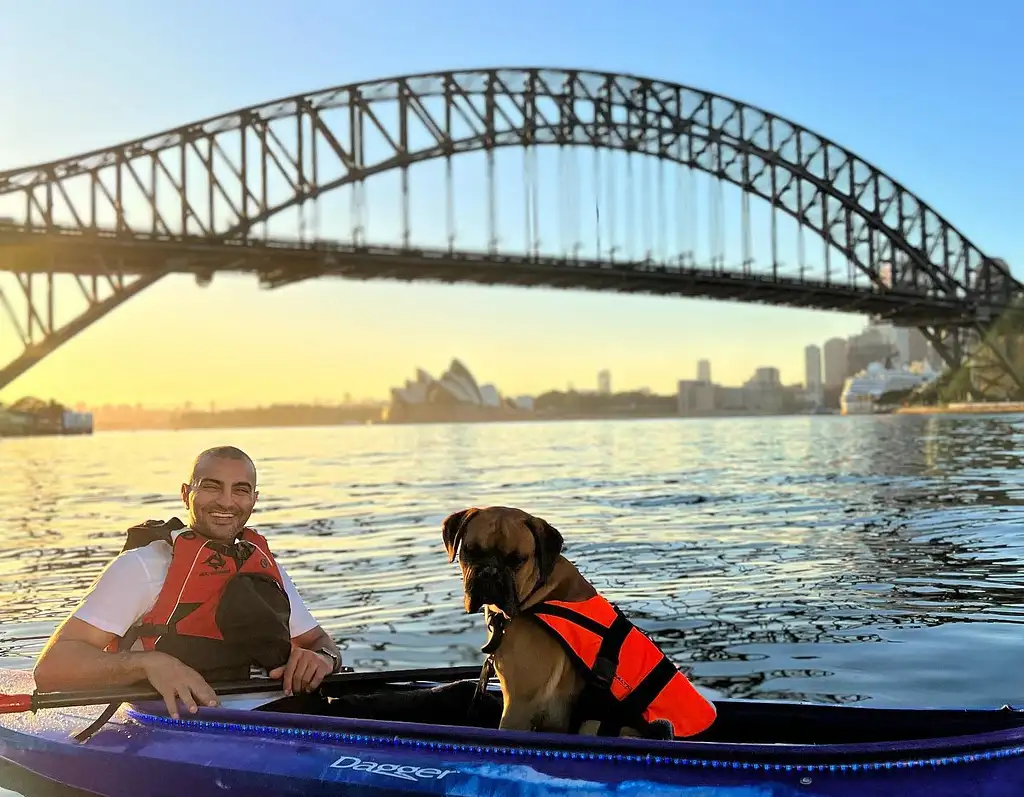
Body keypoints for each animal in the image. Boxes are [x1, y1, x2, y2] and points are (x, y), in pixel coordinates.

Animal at [442, 506, 720, 737]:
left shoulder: (519, 704)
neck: (538, 592)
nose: (489, 572)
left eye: (516, 560)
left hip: (593, 723)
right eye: (469, 551)